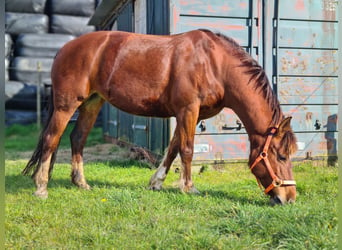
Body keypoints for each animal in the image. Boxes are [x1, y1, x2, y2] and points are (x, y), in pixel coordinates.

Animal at [22, 29, 298, 205]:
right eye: (281, 156)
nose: (289, 198)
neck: (215, 64)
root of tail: (65, 48)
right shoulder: (188, 110)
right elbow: (187, 149)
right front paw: (189, 187)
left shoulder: (189, 114)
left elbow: (173, 148)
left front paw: (156, 182)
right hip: (66, 105)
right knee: (51, 139)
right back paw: (41, 187)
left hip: (92, 103)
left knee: (77, 139)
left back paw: (80, 183)